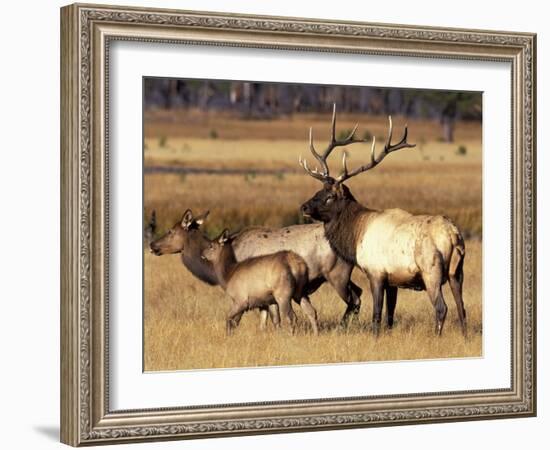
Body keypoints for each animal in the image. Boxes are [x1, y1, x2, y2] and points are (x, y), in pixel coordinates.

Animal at [300, 105, 468, 336]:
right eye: (319, 190)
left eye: (330, 196)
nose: (304, 207)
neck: (356, 235)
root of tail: (453, 235)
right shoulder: (393, 280)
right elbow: (390, 315)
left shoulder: (376, 272)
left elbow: (377, 314)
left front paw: (375, 338)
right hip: (457, 271)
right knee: (462, 308)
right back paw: (465, 338)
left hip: (431, 270)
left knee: (442, 307)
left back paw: (437, 337)